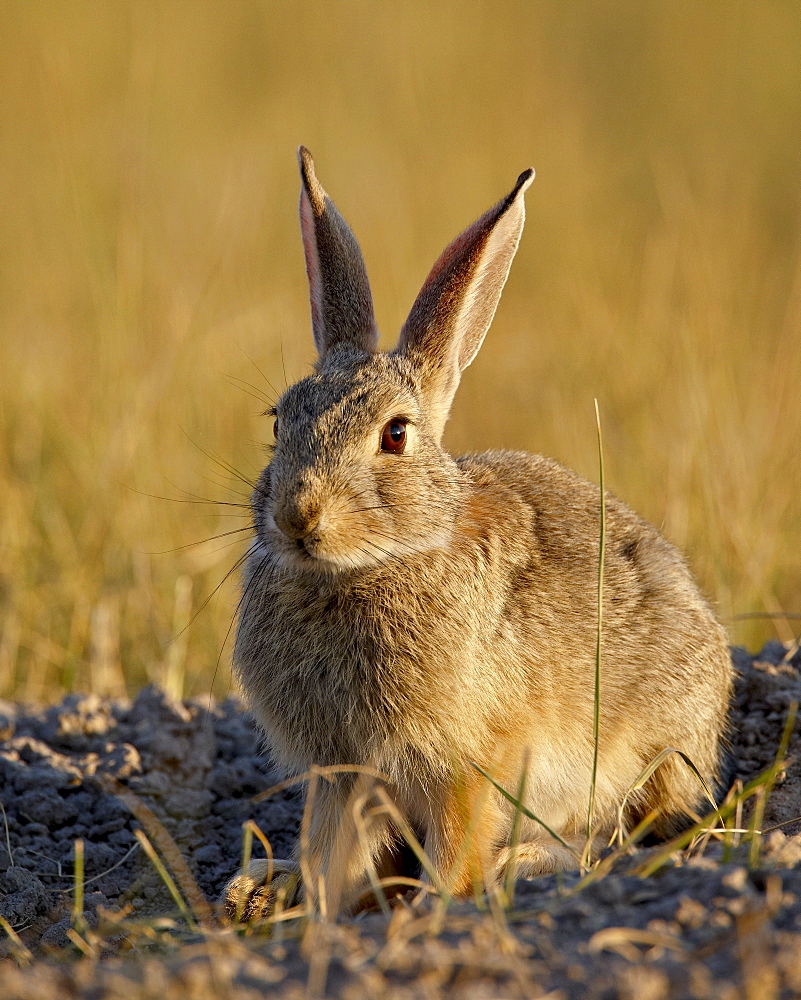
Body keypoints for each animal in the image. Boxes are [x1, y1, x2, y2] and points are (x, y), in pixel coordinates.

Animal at [222, 145, 736, 916]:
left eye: (395, 435)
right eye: (279, 422)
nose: (296, 518)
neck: (374, 564)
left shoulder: (470, 762)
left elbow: (457, 843)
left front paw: (435, 910)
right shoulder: (340, 772)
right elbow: (329, 850)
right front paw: (311, 908)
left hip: (650, 754)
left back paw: (522, 866)